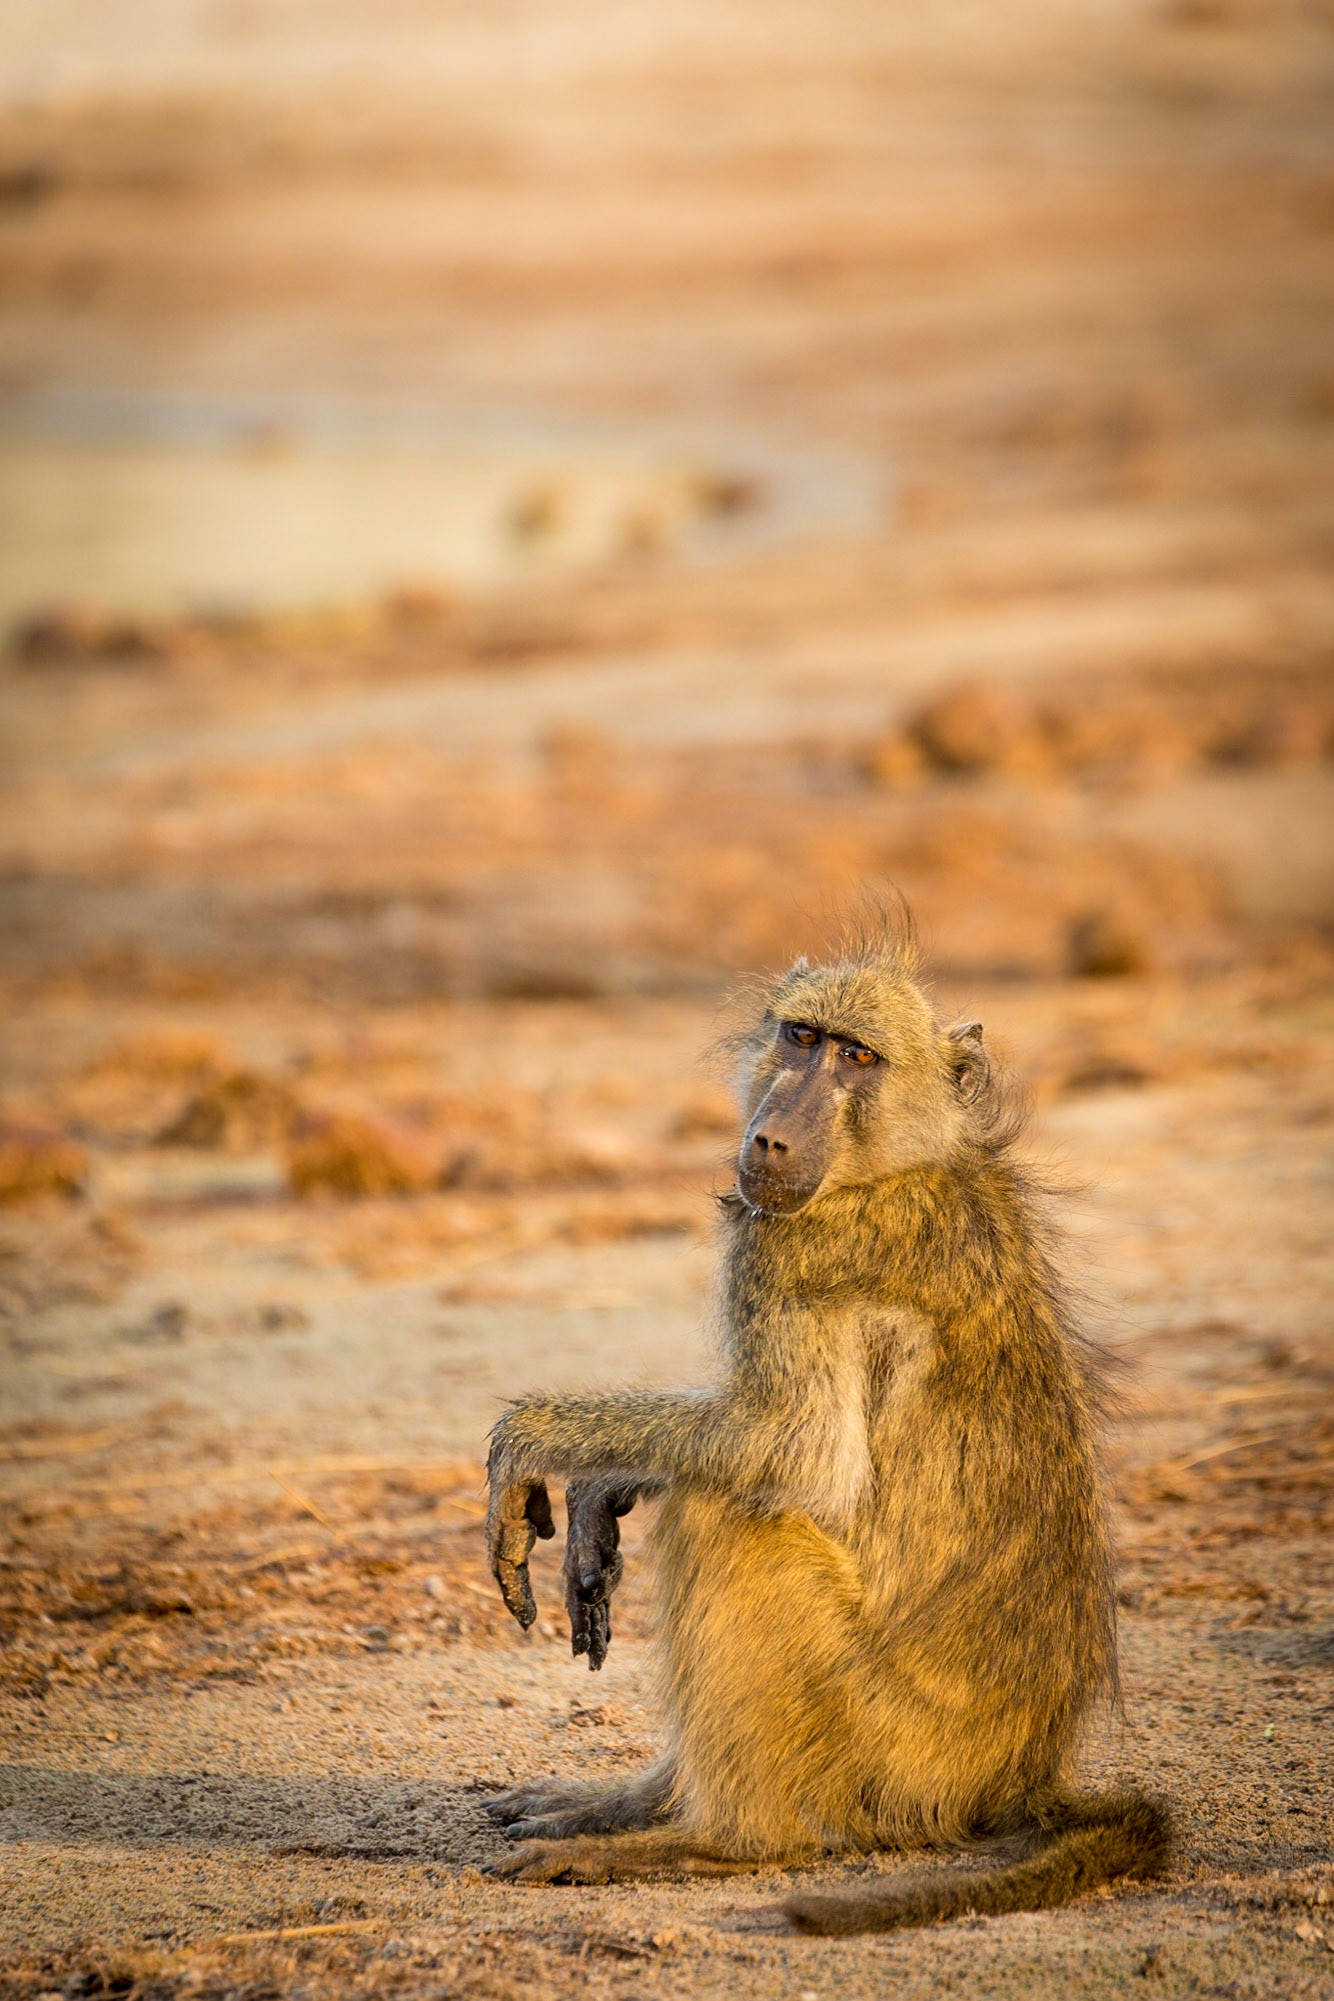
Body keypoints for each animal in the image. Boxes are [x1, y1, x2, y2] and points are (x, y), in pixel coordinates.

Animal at [480, 930, 1169, 1932]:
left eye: (858, 1056)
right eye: (801, 1037)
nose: (771, 1136)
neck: (903, 1160)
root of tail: (1021, 1775)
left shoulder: (793, 1250)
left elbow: (789, 1449)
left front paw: (536, 1439)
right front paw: (603, 1488)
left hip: (892, 1746)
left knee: (725, 1513)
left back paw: (718, 1838)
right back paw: (633, 1802)